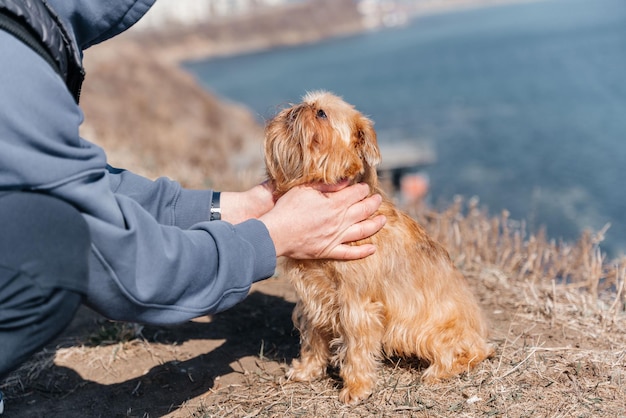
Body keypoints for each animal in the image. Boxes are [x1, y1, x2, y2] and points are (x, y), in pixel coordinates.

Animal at [260, 90, 490, 404]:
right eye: (304, 104)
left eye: (321, 113)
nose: (296, 109)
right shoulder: (313, 300)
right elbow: (313, 338)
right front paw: (308, 370)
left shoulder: (355, 304)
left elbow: (356, 348)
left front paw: (356, 388)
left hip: (423, 329)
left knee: (470, 352)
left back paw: (439, 371)